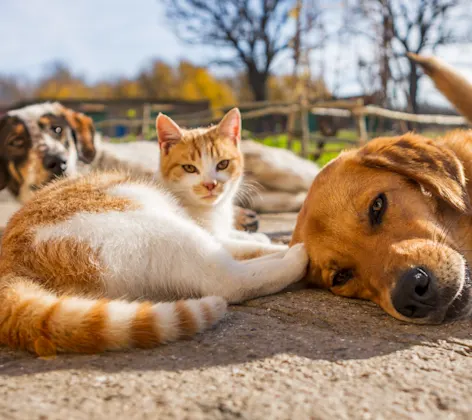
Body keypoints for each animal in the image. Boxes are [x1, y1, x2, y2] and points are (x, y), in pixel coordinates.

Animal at [0, 108, 308, 354]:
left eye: (223, 164)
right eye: (190, 168)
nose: (211, 185)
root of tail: (10, 261)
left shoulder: (221, 233)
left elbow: (247, 241)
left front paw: (263, 238)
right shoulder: (210, 233)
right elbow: (246, 246)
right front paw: (279, 245)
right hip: (162, 229)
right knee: (226, 279)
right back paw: (296, 258)